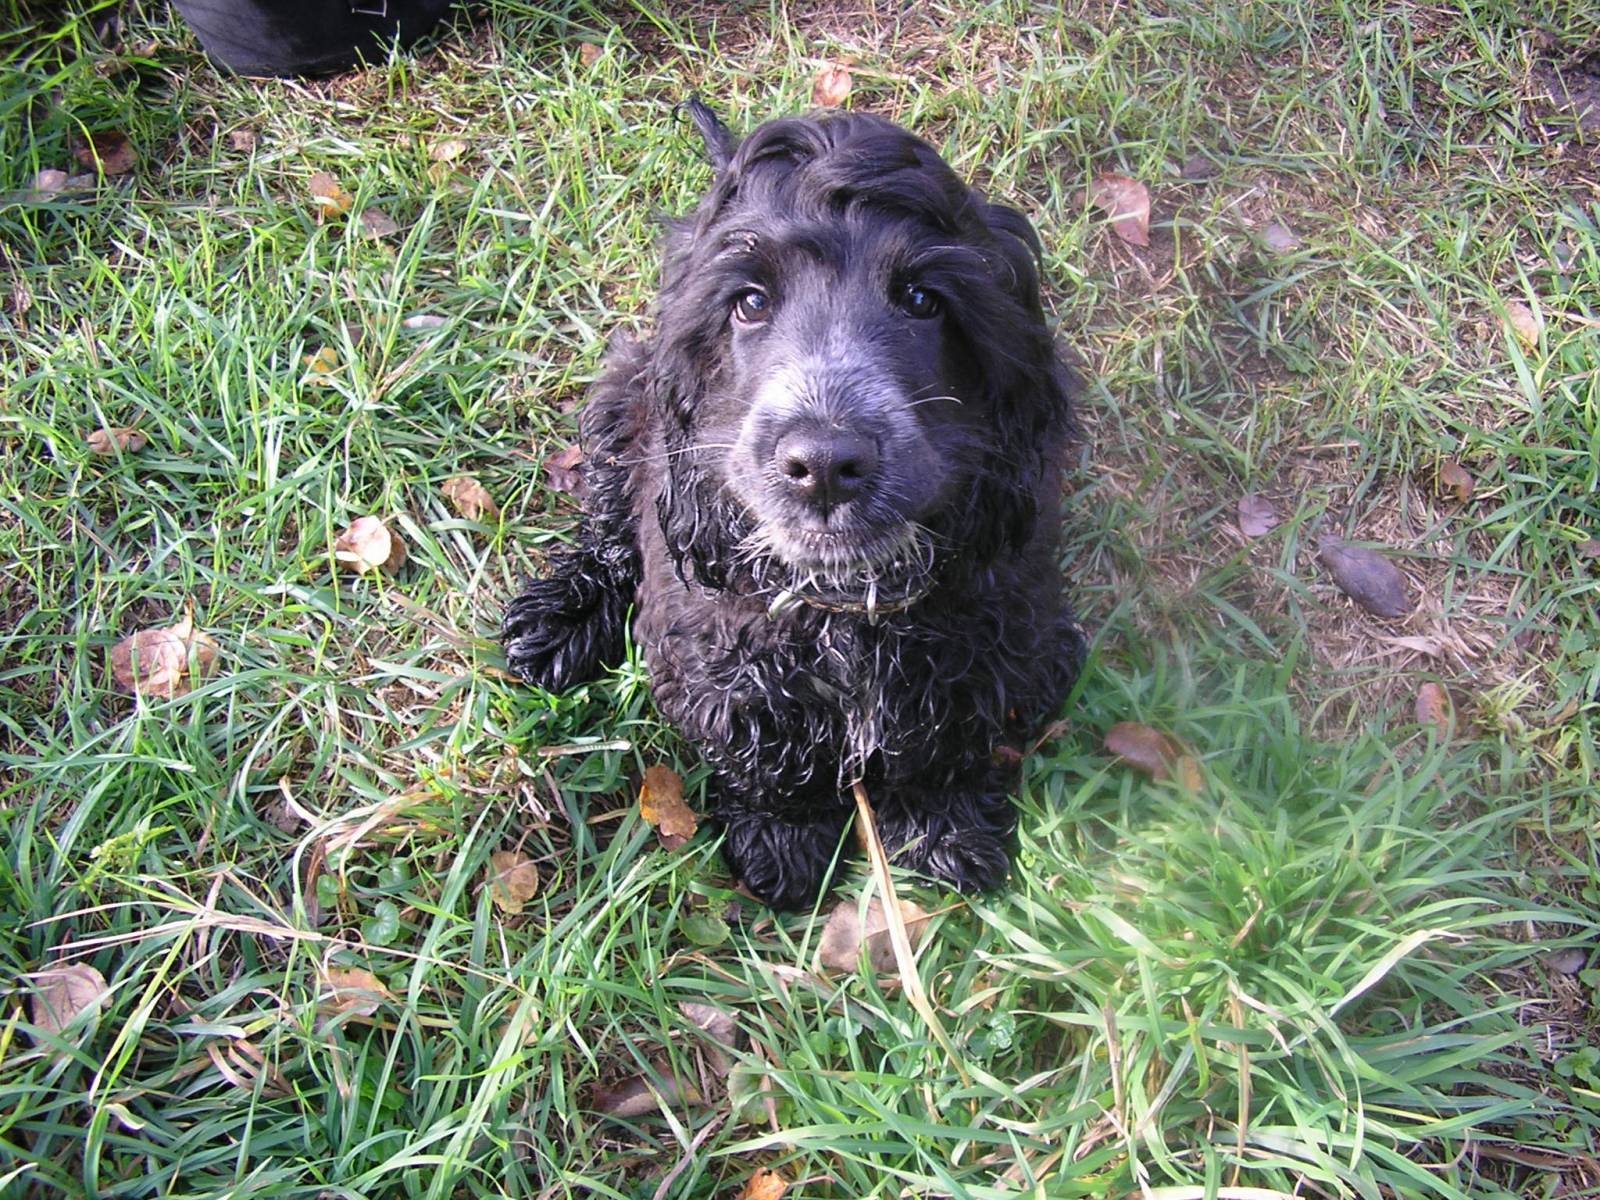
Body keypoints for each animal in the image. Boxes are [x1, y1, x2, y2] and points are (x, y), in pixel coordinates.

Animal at [503, 99, 1085, 909]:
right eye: (749, 302)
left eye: (923, 300)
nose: (825, 466)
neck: (847, 604)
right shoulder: (715, 654)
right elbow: (761, 747)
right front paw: (783, 839)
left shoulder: (1002, 631)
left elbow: (950, 735)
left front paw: (945, 832)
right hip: (624, 405)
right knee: (612, 531)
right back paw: (561, 622)